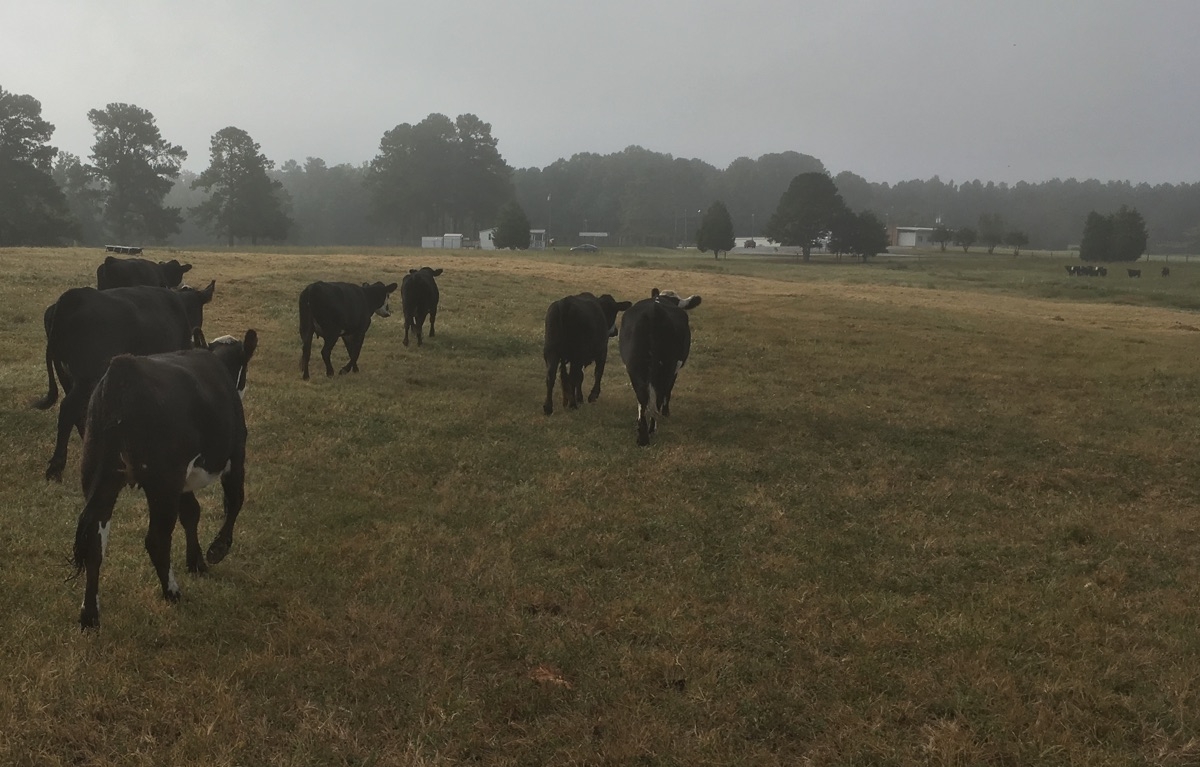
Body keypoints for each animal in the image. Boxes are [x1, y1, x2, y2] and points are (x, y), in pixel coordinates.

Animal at [70, 331, 258, 628]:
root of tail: (123, 369)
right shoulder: (235, 455)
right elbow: (234, 501)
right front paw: (216, 550)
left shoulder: (183, 480)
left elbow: (192, 513)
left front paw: (196, 562)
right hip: (162, 484)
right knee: (156, 539)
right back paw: (172, 591)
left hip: (100, 476)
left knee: (94, 542)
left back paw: (89, 615)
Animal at [619, 286, 700, 444]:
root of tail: (655, 311)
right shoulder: (675, 370)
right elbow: (668, 391)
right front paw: (666, 412)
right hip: (666, 367)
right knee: (658, 394)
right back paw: (651, 429)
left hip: (634, 366)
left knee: (642, 396)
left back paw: (642, 435)